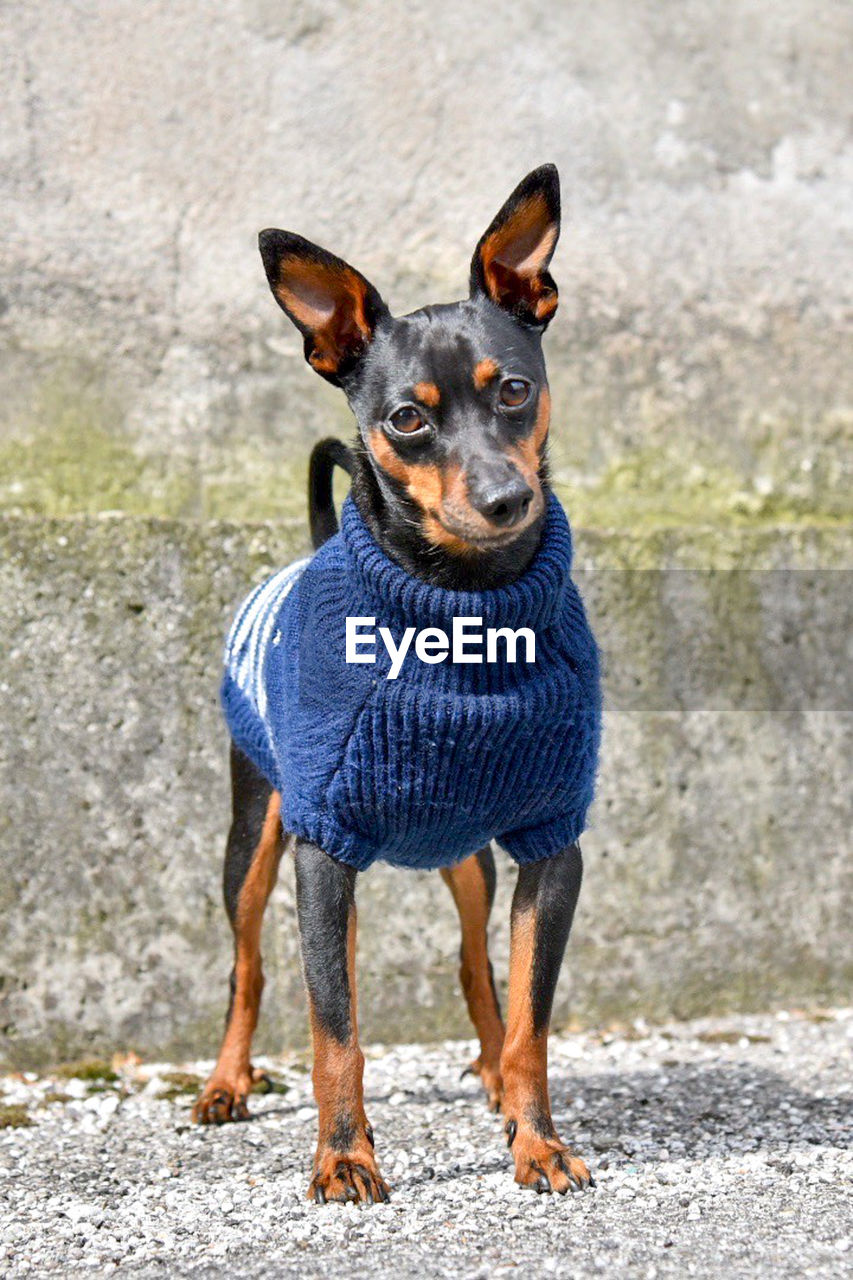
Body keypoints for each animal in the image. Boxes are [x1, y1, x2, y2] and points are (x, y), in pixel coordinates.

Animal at [194, 165, 596, 1203]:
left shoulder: (550, 846)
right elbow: (335, 1027)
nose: (505, 499)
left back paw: (492, 1084)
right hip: (257, 841)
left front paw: (536, 1140)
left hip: (465, 858)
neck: (463, 604)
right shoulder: (320, 849)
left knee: (472, 965)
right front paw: (343, 1157)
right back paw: (226, 1084)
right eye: (405, 420)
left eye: (515, 391)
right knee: (252, 969)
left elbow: (531, 1017)